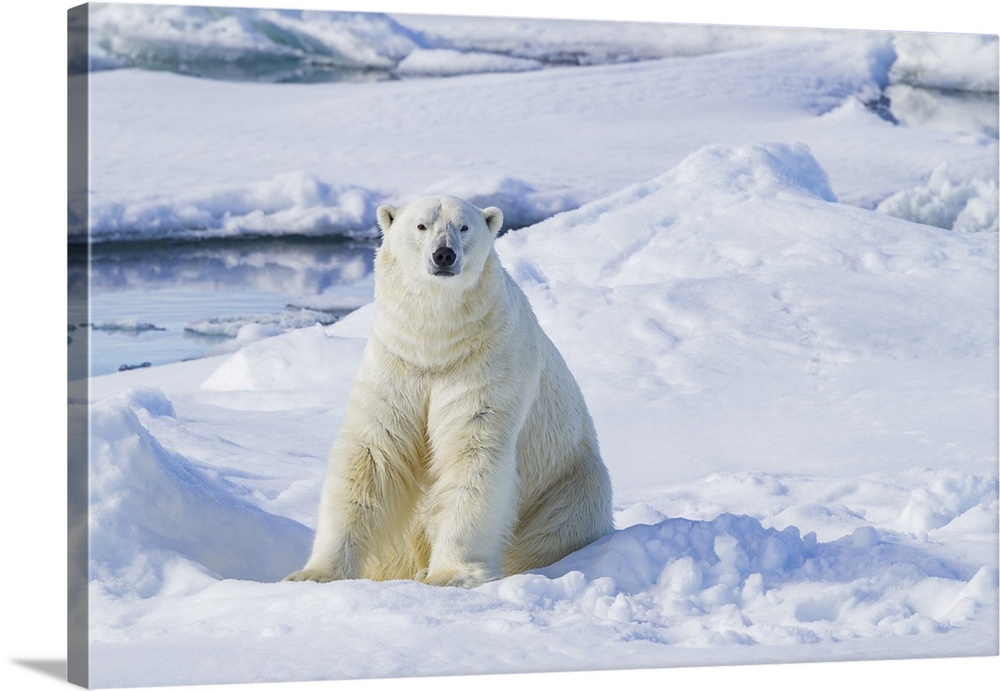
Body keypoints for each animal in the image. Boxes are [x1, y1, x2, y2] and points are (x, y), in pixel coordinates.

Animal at [286, 195, 613, 588]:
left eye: (464, 226)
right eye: (421, 225)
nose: (444, 254)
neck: (437, 345)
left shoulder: (485, 367)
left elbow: (471, 452)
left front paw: (449, 575)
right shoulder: (396, 366)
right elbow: (372, 456)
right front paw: (315, 574)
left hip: (567, 486)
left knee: (557, 526)